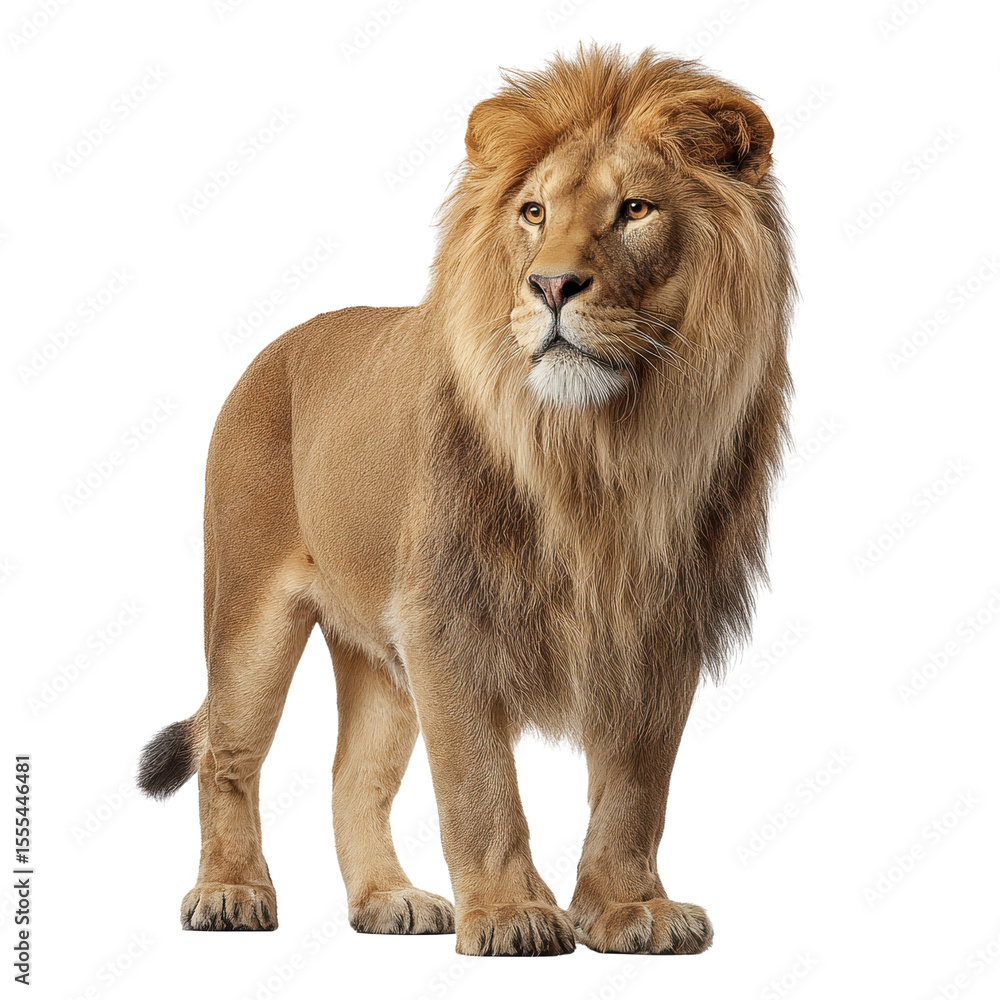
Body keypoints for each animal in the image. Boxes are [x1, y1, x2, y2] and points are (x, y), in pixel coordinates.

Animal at [137, 45, 793, 956]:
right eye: (533, 211)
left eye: (634, 209)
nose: (551, 286)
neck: (600, 452)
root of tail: (279, 345)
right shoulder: (447, 620)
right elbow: (480, 786)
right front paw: (514, 913)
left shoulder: (657, 627)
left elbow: (636, 793)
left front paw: (630, 909)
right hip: (247, 613)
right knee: (227, 757)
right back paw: (229, 893)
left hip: (379, 657)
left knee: (352, 779)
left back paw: (389, 901)